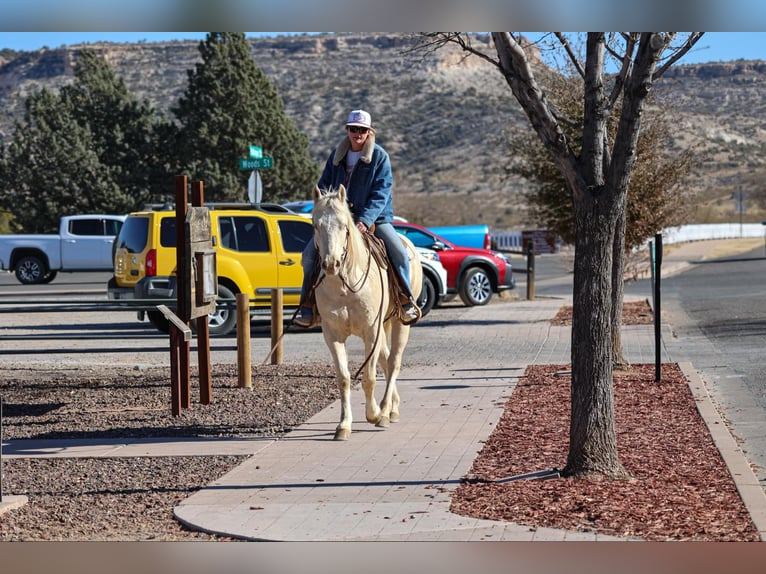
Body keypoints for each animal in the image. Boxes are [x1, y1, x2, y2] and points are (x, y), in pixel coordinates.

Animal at [308, 184, 424, 440]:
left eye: (344, 225)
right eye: (316, 225)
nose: (331, 264)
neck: (345, 285)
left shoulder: (371, 331)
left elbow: (369, 377)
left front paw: (374, 414)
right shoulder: (332, 335)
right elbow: (343, 379)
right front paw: (343, 425)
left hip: (400, 324)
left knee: (393, 362)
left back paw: (385, 411)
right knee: (386, 360)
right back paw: (392, 408)